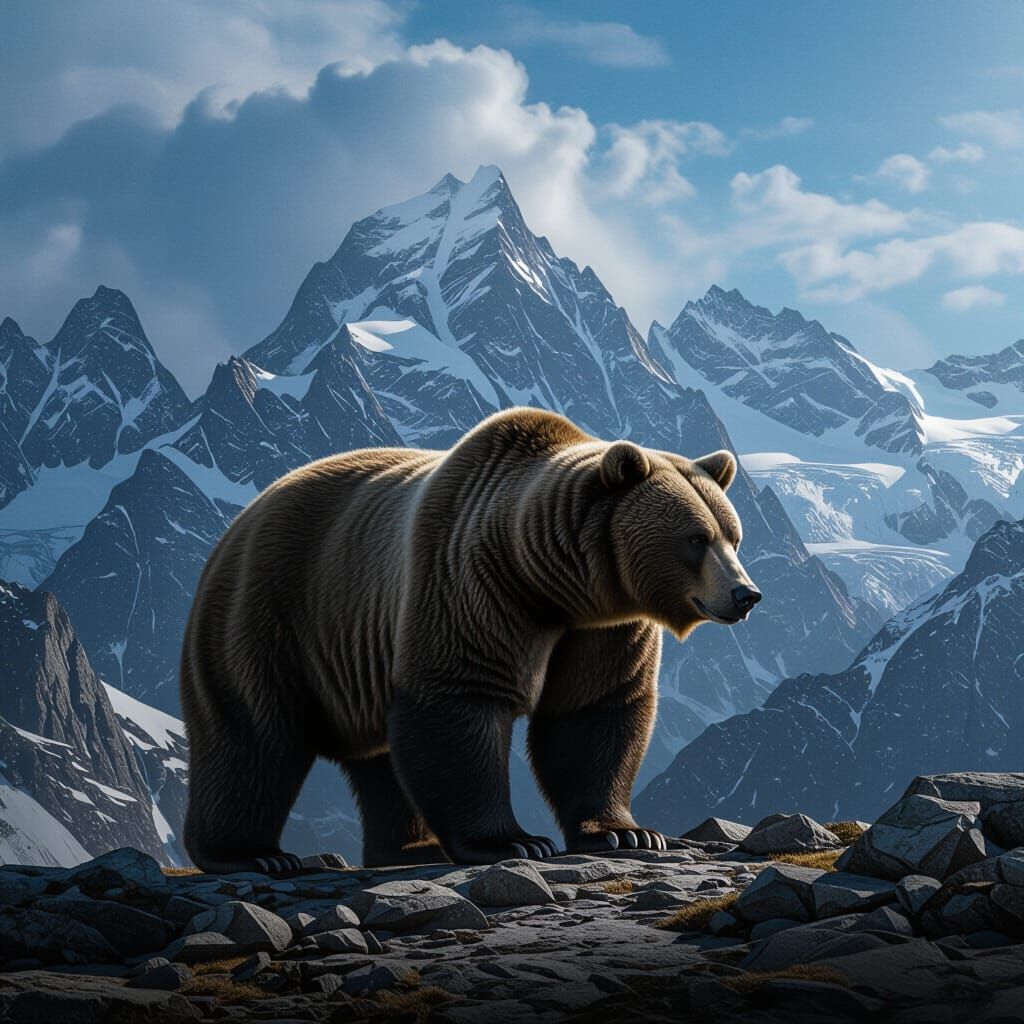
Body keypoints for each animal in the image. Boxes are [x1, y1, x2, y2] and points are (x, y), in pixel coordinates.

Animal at [181, 407, 761, 872]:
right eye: (695, 538)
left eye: (733, 535)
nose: (746, 594)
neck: (554, 584)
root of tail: (241, 519)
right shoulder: (470, 584)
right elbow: (461, 702)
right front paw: (513, 842)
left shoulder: (603, 628)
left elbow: (592, 713)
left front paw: (627, 832)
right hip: (272, 613)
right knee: (252, 737)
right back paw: (254, 854)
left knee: (380, 760)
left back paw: (411, 849)